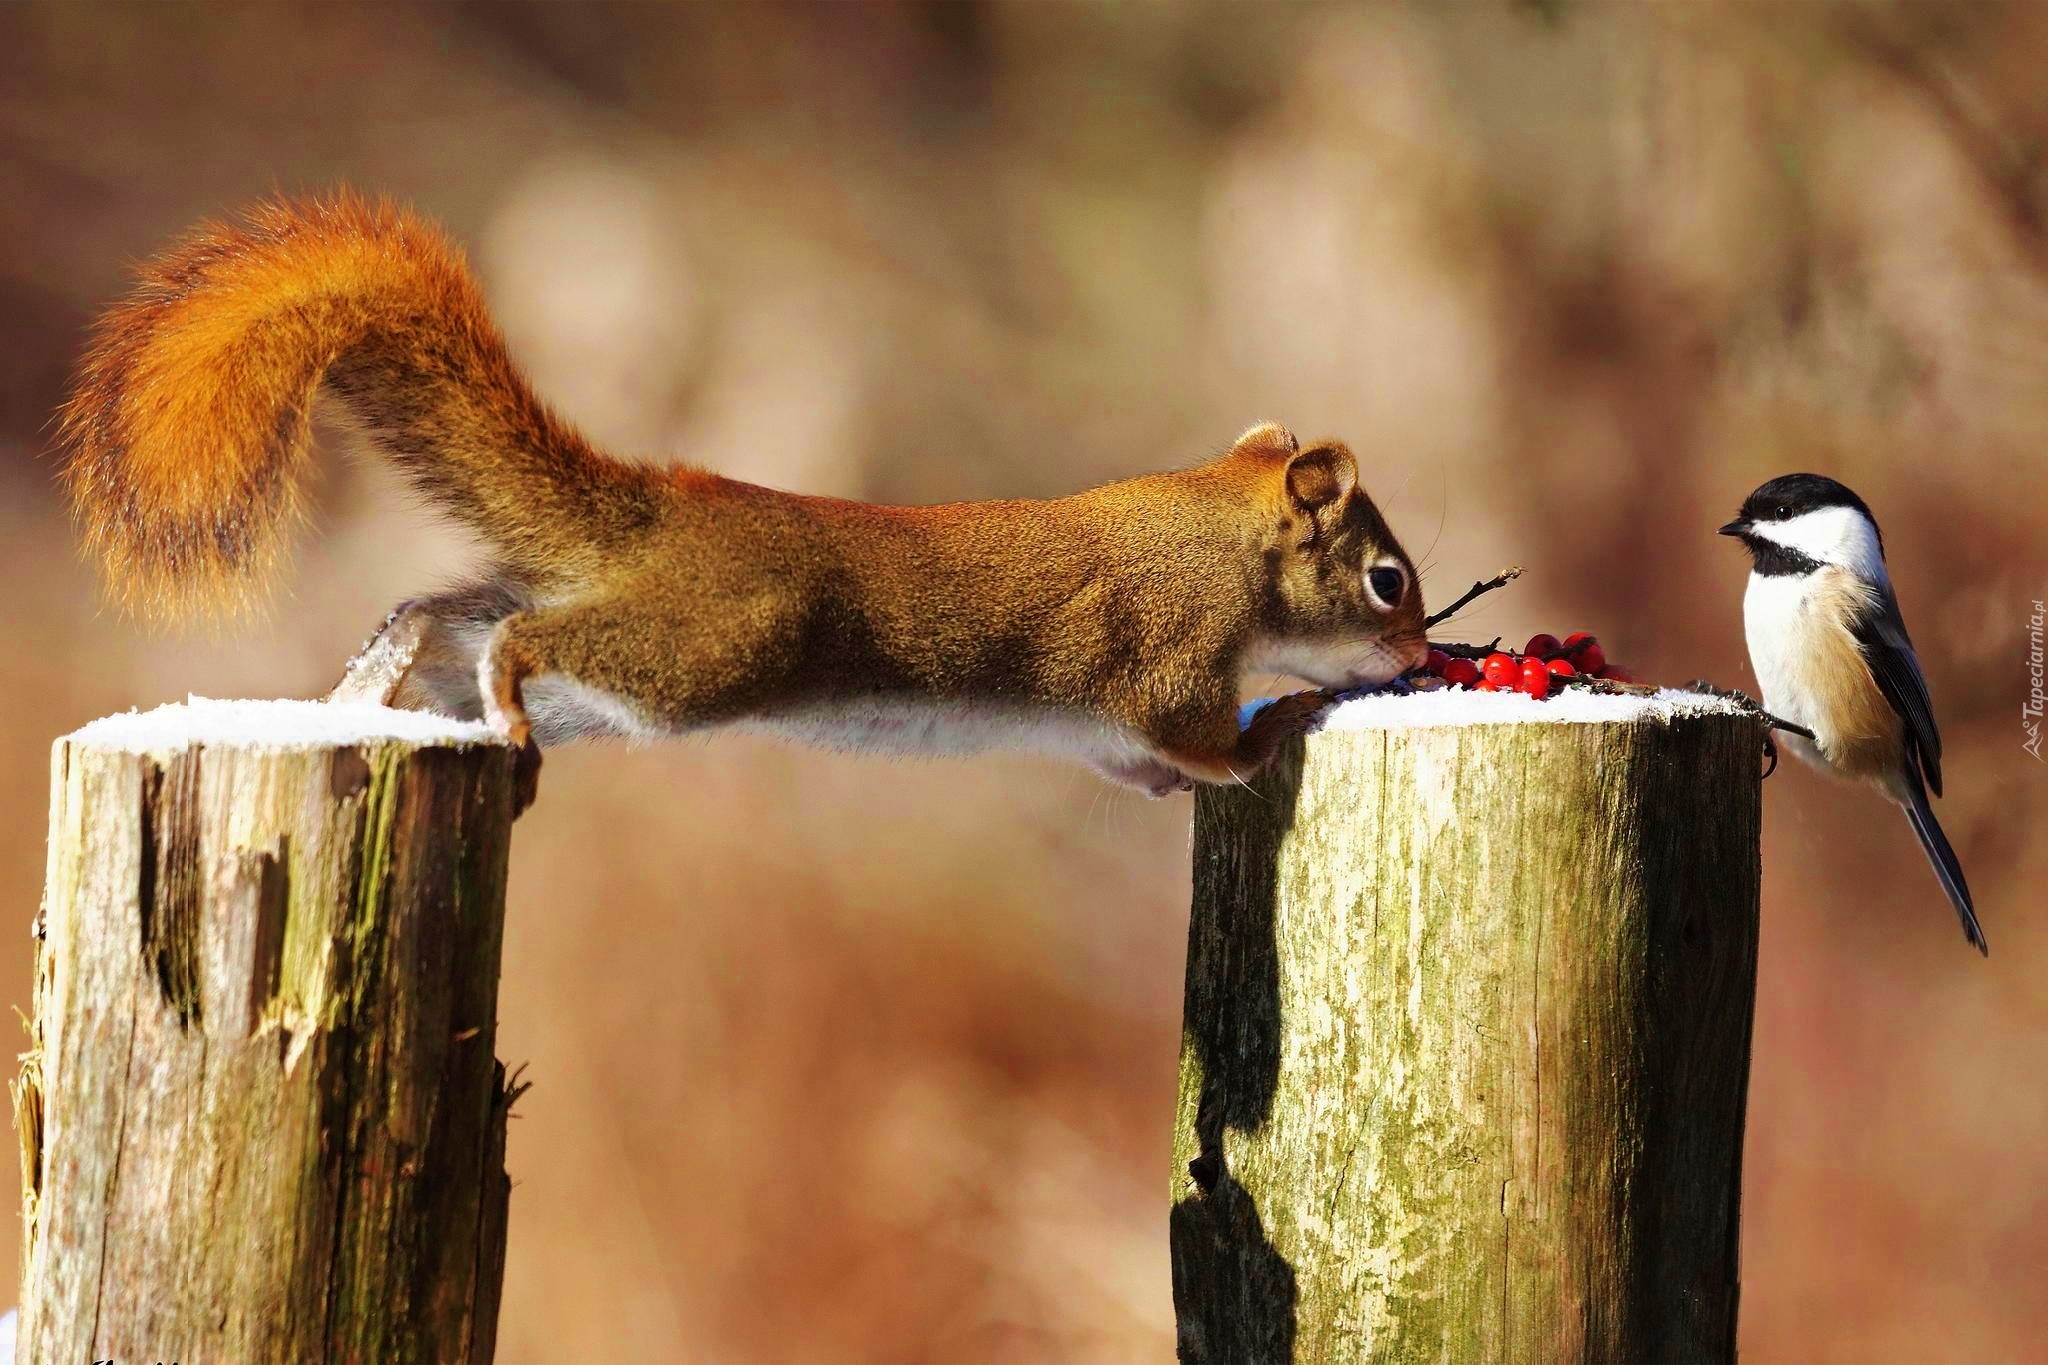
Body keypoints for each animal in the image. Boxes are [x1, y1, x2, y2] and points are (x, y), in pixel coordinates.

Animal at [59, 193, 1425, 810]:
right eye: (1385, 580)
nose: (1418, 651)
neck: (1211, 531)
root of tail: (663, 515)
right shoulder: (1165, 655)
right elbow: (1193, 731)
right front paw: (1276, 723)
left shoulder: (1103, 730)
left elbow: (1144, 768)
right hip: (715, 645)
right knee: (518, 636)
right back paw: (484, 694)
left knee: (441, 613)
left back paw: (370, 690)